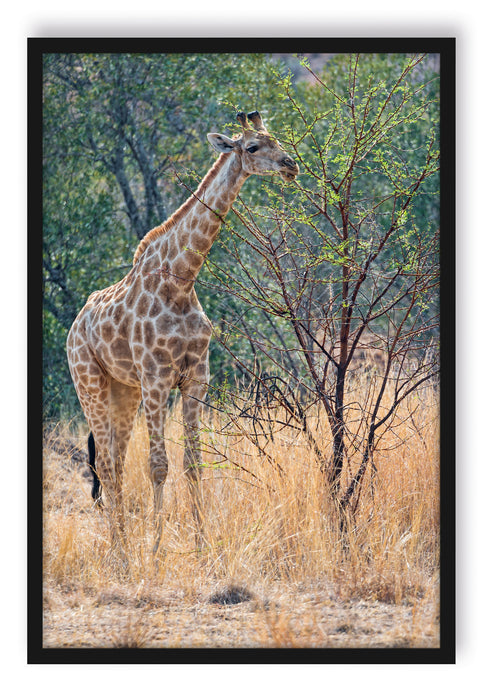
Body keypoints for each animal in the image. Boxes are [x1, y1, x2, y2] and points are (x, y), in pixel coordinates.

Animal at [66, 109, 298, 548]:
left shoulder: (196, 378)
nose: (290, 165)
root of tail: (74, 326)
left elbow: (194, 463)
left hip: (124, 390)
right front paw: (156, 548)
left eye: (276, 139)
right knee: (104, 464)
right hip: (90, 384)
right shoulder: (157, 378)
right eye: (252, 147)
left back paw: (122, 547)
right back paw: (121, 550)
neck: (181, 280)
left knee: (115, 463)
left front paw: (203, 544)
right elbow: (158, 465)